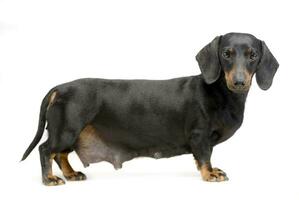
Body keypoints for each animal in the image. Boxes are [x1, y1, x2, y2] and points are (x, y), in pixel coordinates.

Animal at [21, 32, 278, 185]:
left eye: (253, 55)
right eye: (226, 54)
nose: (239, 82)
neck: (221, 94)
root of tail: (59, 88)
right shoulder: (200, 136)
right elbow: (204, 156)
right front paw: (210, 173)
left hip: (71, 132)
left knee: (61, 154)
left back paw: (71, 174)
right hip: (67, 129)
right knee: (46, 150)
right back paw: (50, 179)